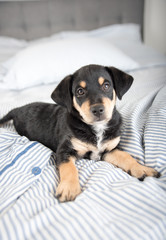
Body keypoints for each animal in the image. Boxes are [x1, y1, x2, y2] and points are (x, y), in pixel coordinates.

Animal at [0, 64, 161, 202]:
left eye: (106, 85)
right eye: (80, 91)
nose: (97, 110)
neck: (96, 128)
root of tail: (17, 109)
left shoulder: (109, 149)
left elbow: (126, 156)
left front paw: (142, 169)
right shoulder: (64, 150)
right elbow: (69, 168)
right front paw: (68, 188)